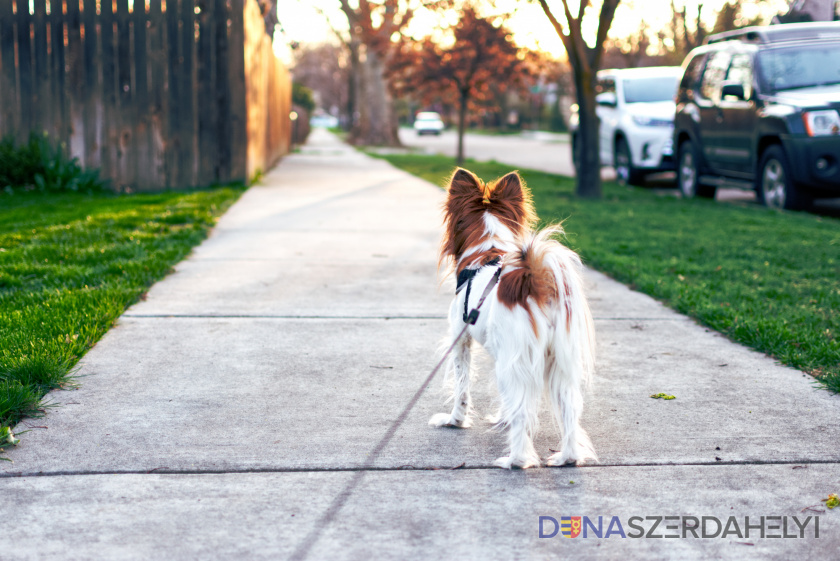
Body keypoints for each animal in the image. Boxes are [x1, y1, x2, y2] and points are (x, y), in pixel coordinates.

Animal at [434, 167, 596, 468]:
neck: (488, 249)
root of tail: (534, 280)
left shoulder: (461, 340)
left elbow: (462, 387)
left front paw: (455, 421)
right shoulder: (503, 353)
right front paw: (501, 418)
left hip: (517, 359)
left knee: (523, 412)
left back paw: (515, 461)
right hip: (558, 362)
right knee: (569, 410)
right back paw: (566, 458)